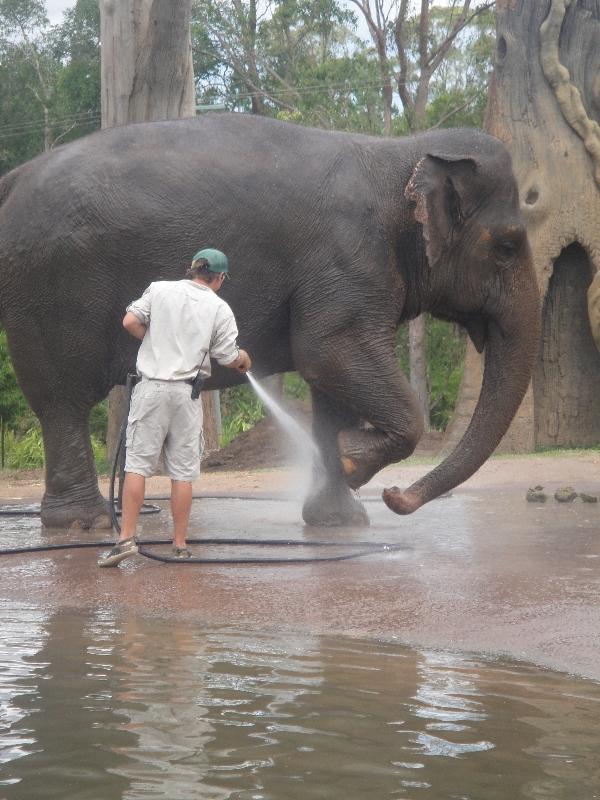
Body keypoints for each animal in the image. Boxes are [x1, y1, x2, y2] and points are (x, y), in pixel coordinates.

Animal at [0, 109, 540, 528]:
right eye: (509, 246)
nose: (396, 496)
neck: (397, 154)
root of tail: (16, 176)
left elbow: (329, 384)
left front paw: (341, 516)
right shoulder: (346, 259)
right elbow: (329, 352)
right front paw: (354, 461)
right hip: (49, 290)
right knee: (63, 400)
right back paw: (83, 522)